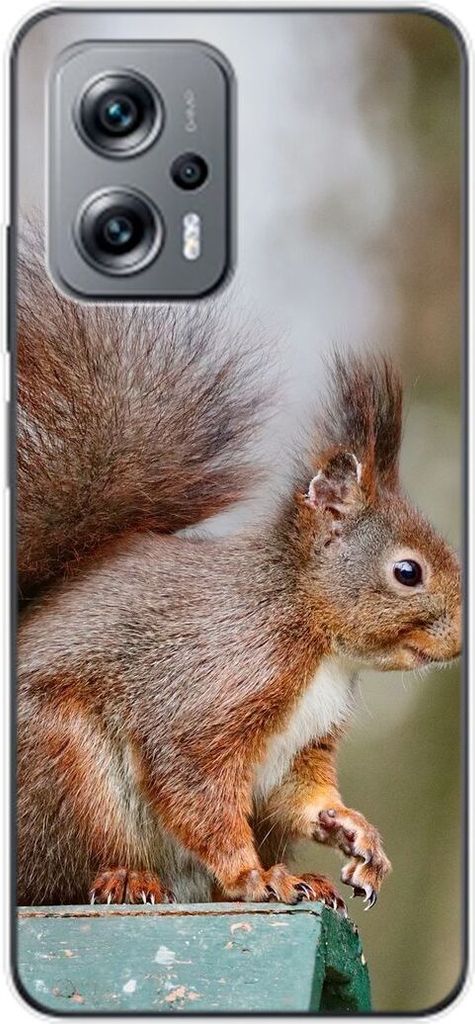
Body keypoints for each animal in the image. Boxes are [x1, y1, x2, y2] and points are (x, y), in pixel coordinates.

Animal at [16, 239, 461, 911]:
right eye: (407, 571)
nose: (460, 642)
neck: (313, 635)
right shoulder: (221, 676)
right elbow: (194, 780)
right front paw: (253, 876)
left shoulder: (305, 744)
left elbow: (302, 795)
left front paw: (354, 831)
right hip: (64, 768)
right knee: (70, 868)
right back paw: (128, 877)